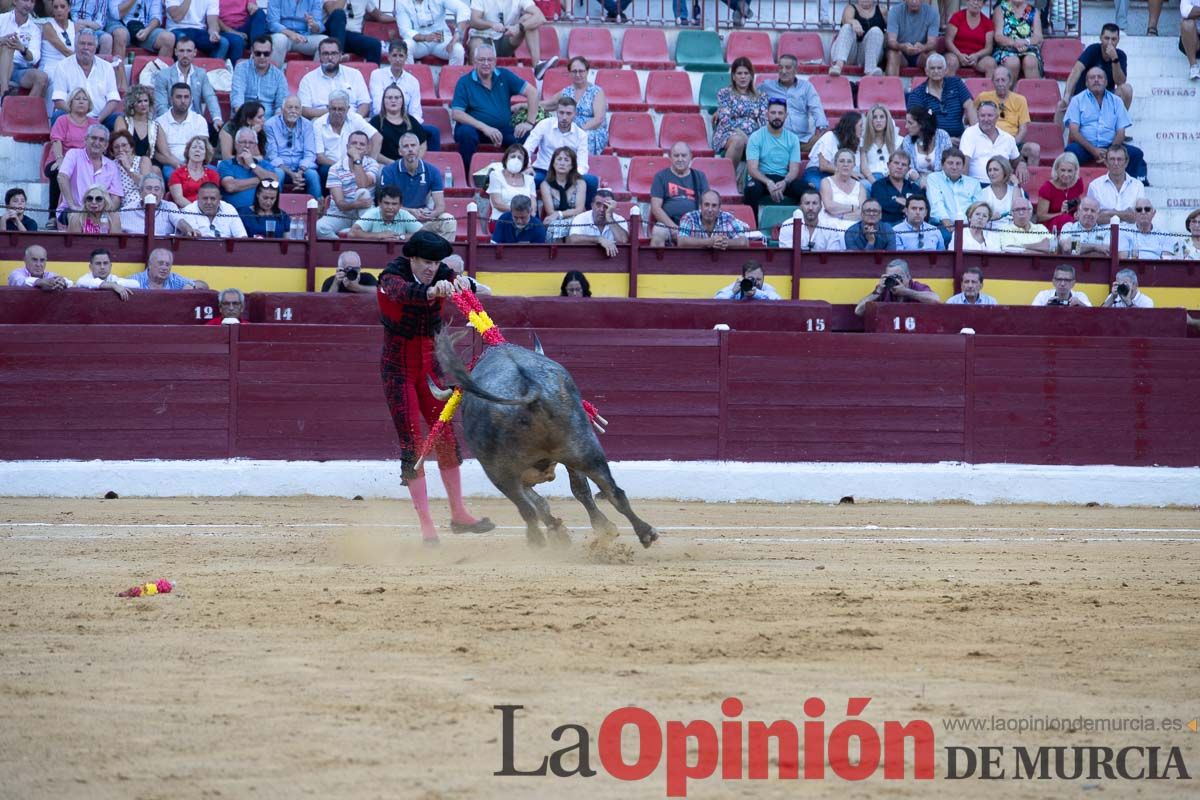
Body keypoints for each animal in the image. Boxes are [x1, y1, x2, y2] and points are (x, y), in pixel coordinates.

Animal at [429, 331, 657, 551]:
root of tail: (529, 388)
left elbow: (540, 503)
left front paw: (560, 532)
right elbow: (573, 493)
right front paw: (584, 528)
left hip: (498, 472)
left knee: (526, 509)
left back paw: (536, 542)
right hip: (584, 447)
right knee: (613, 491)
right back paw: (642, 532)